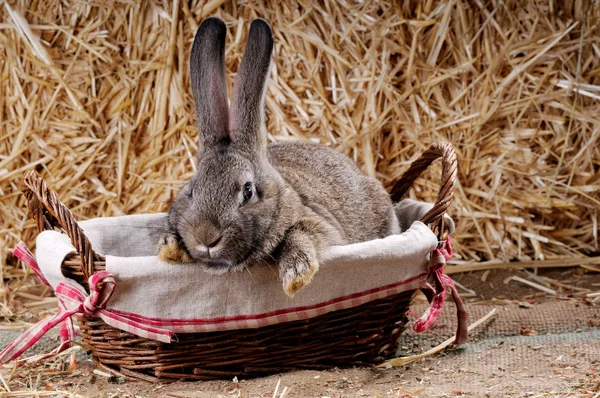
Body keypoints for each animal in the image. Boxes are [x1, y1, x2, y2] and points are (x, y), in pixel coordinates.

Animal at [159, 18, 404, 296]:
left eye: (248, 191)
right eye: (192, 190)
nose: (206, 237)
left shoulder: (319, 224)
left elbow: (301, 233)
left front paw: (295, 277)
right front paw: (170, 248)